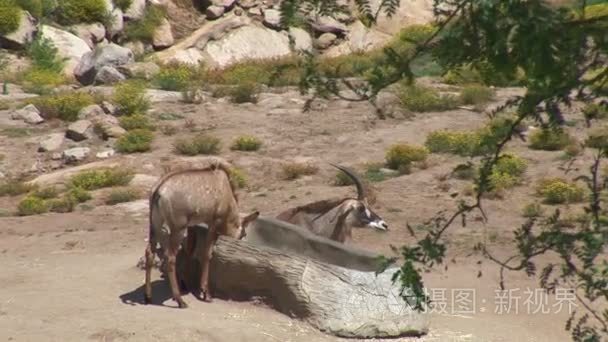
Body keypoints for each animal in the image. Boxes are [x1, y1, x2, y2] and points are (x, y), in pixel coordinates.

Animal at [145, 159, 258, 308]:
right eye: (243, 234)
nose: (243, 241)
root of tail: (158, 191)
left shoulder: (193, 226)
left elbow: (189, 251)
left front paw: (187, 283)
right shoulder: (214, 224)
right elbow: (207, 254)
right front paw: (206, 293)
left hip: (155, 225)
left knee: (150, 253)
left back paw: (148, 297)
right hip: (178, 228)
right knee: (170, 257)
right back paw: (180, 300)